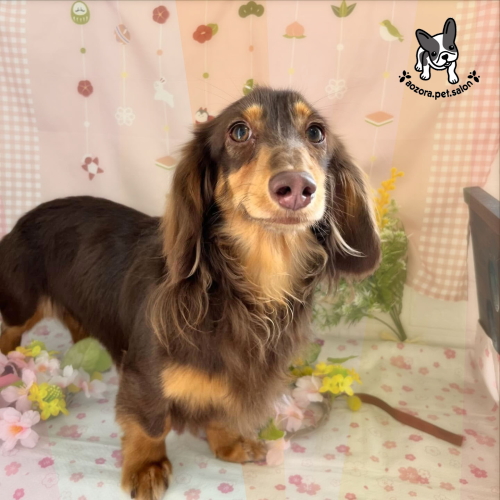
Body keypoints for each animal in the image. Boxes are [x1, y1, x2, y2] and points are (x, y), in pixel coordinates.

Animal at [0, 88, 380, 499]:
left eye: (316, 132)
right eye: (239, 131)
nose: (296, 187)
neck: (243, 290)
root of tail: (24, 217)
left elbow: (219, 411)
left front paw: (229, 442)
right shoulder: (145, 374)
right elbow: (151, 423)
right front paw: (147, 466)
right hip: (22, 304)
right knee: (10, 330)